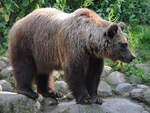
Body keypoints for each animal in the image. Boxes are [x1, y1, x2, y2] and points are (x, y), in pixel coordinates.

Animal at [8, 7, 136, 104]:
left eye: (127, 43)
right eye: (124, 44)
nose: (132, 56)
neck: (88, 42)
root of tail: (18, 21)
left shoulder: (94, 57)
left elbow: (94, 74)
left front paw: (96, 98)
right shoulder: (73, 47)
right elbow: (75, 71)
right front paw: (84, 98)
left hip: (42, 53)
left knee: (44, 72)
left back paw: (52, 92)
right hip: (27, 42)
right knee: (24, 66)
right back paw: (29, 91)